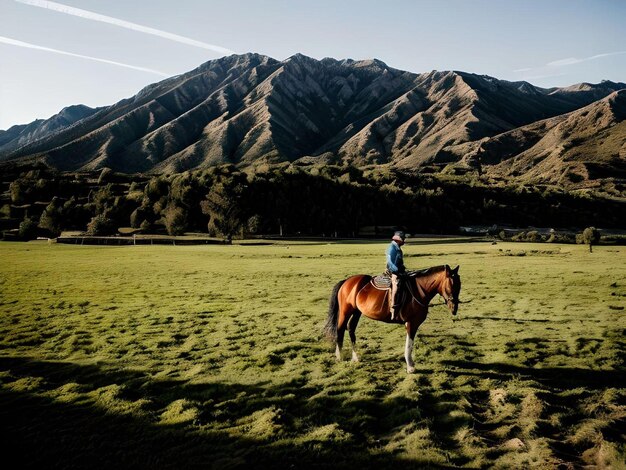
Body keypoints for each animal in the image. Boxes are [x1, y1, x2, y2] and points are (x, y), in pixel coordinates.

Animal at [322, 266, 458, 372]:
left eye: (459, 285)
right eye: (451, 285)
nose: (454, 308)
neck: (419, 291)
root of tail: (347, 281)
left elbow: (409, 343)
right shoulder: (412, 323)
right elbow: (409, 344)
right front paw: (410, 367)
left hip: (357, 311)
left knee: (351, 328)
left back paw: (355, 357)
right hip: (346, 311)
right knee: (340, 329)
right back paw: (339, 356)